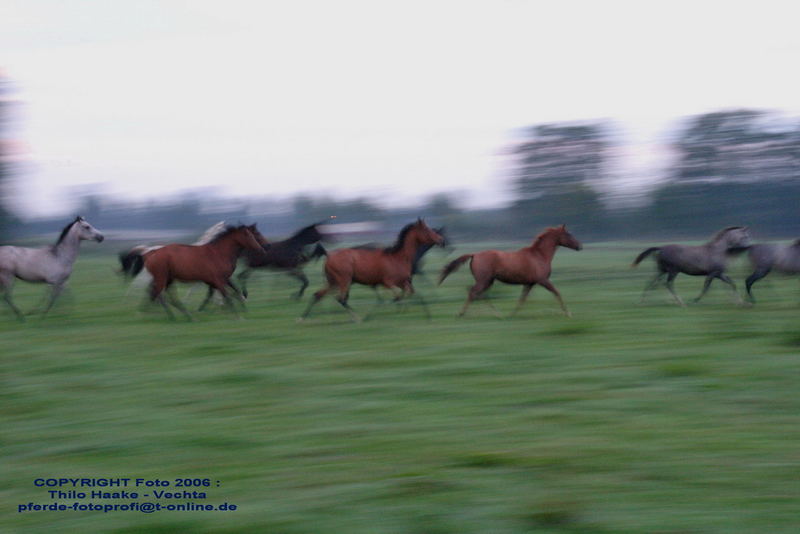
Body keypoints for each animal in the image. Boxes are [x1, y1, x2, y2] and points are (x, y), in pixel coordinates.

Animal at [122, 225, 266, 320]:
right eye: (251, 235)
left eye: (255, 235)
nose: (262, 249)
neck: (219, 253)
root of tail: (149, 254)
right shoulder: (218, 280)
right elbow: (227, 296)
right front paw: (237, 315)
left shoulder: (223, 279)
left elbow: (234, 291)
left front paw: (243, 308)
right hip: (161, 277)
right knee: (158, 294)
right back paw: (171, 315)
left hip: (168, 278)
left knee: (163, 294)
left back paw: (184, 314)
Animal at [304, 219, 446, 322]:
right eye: (427, 229)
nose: (441, 240)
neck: (398, 257)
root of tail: (328, 255)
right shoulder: (388, 282)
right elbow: (396, 297)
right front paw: (375, 313)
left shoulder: (404, 282)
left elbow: (413, 294)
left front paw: (428, 315)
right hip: (344, 280)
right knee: (341, 299)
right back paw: (358, 318)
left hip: (333, 282)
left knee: (318, 295)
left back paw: (304, 318)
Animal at [438, 225, 580, 318]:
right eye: (568, 234)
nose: (579, 246)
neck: (539, 255)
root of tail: (474, 255)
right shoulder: (543, 280)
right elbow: (557, 293)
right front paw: (568, 313)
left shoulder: (529, 283)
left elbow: (522, 299)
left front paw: (512, 314)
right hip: (484, 280)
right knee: (473, 292)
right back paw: (464, 313)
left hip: (488, 281)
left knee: (478, 293)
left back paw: (497, 314)